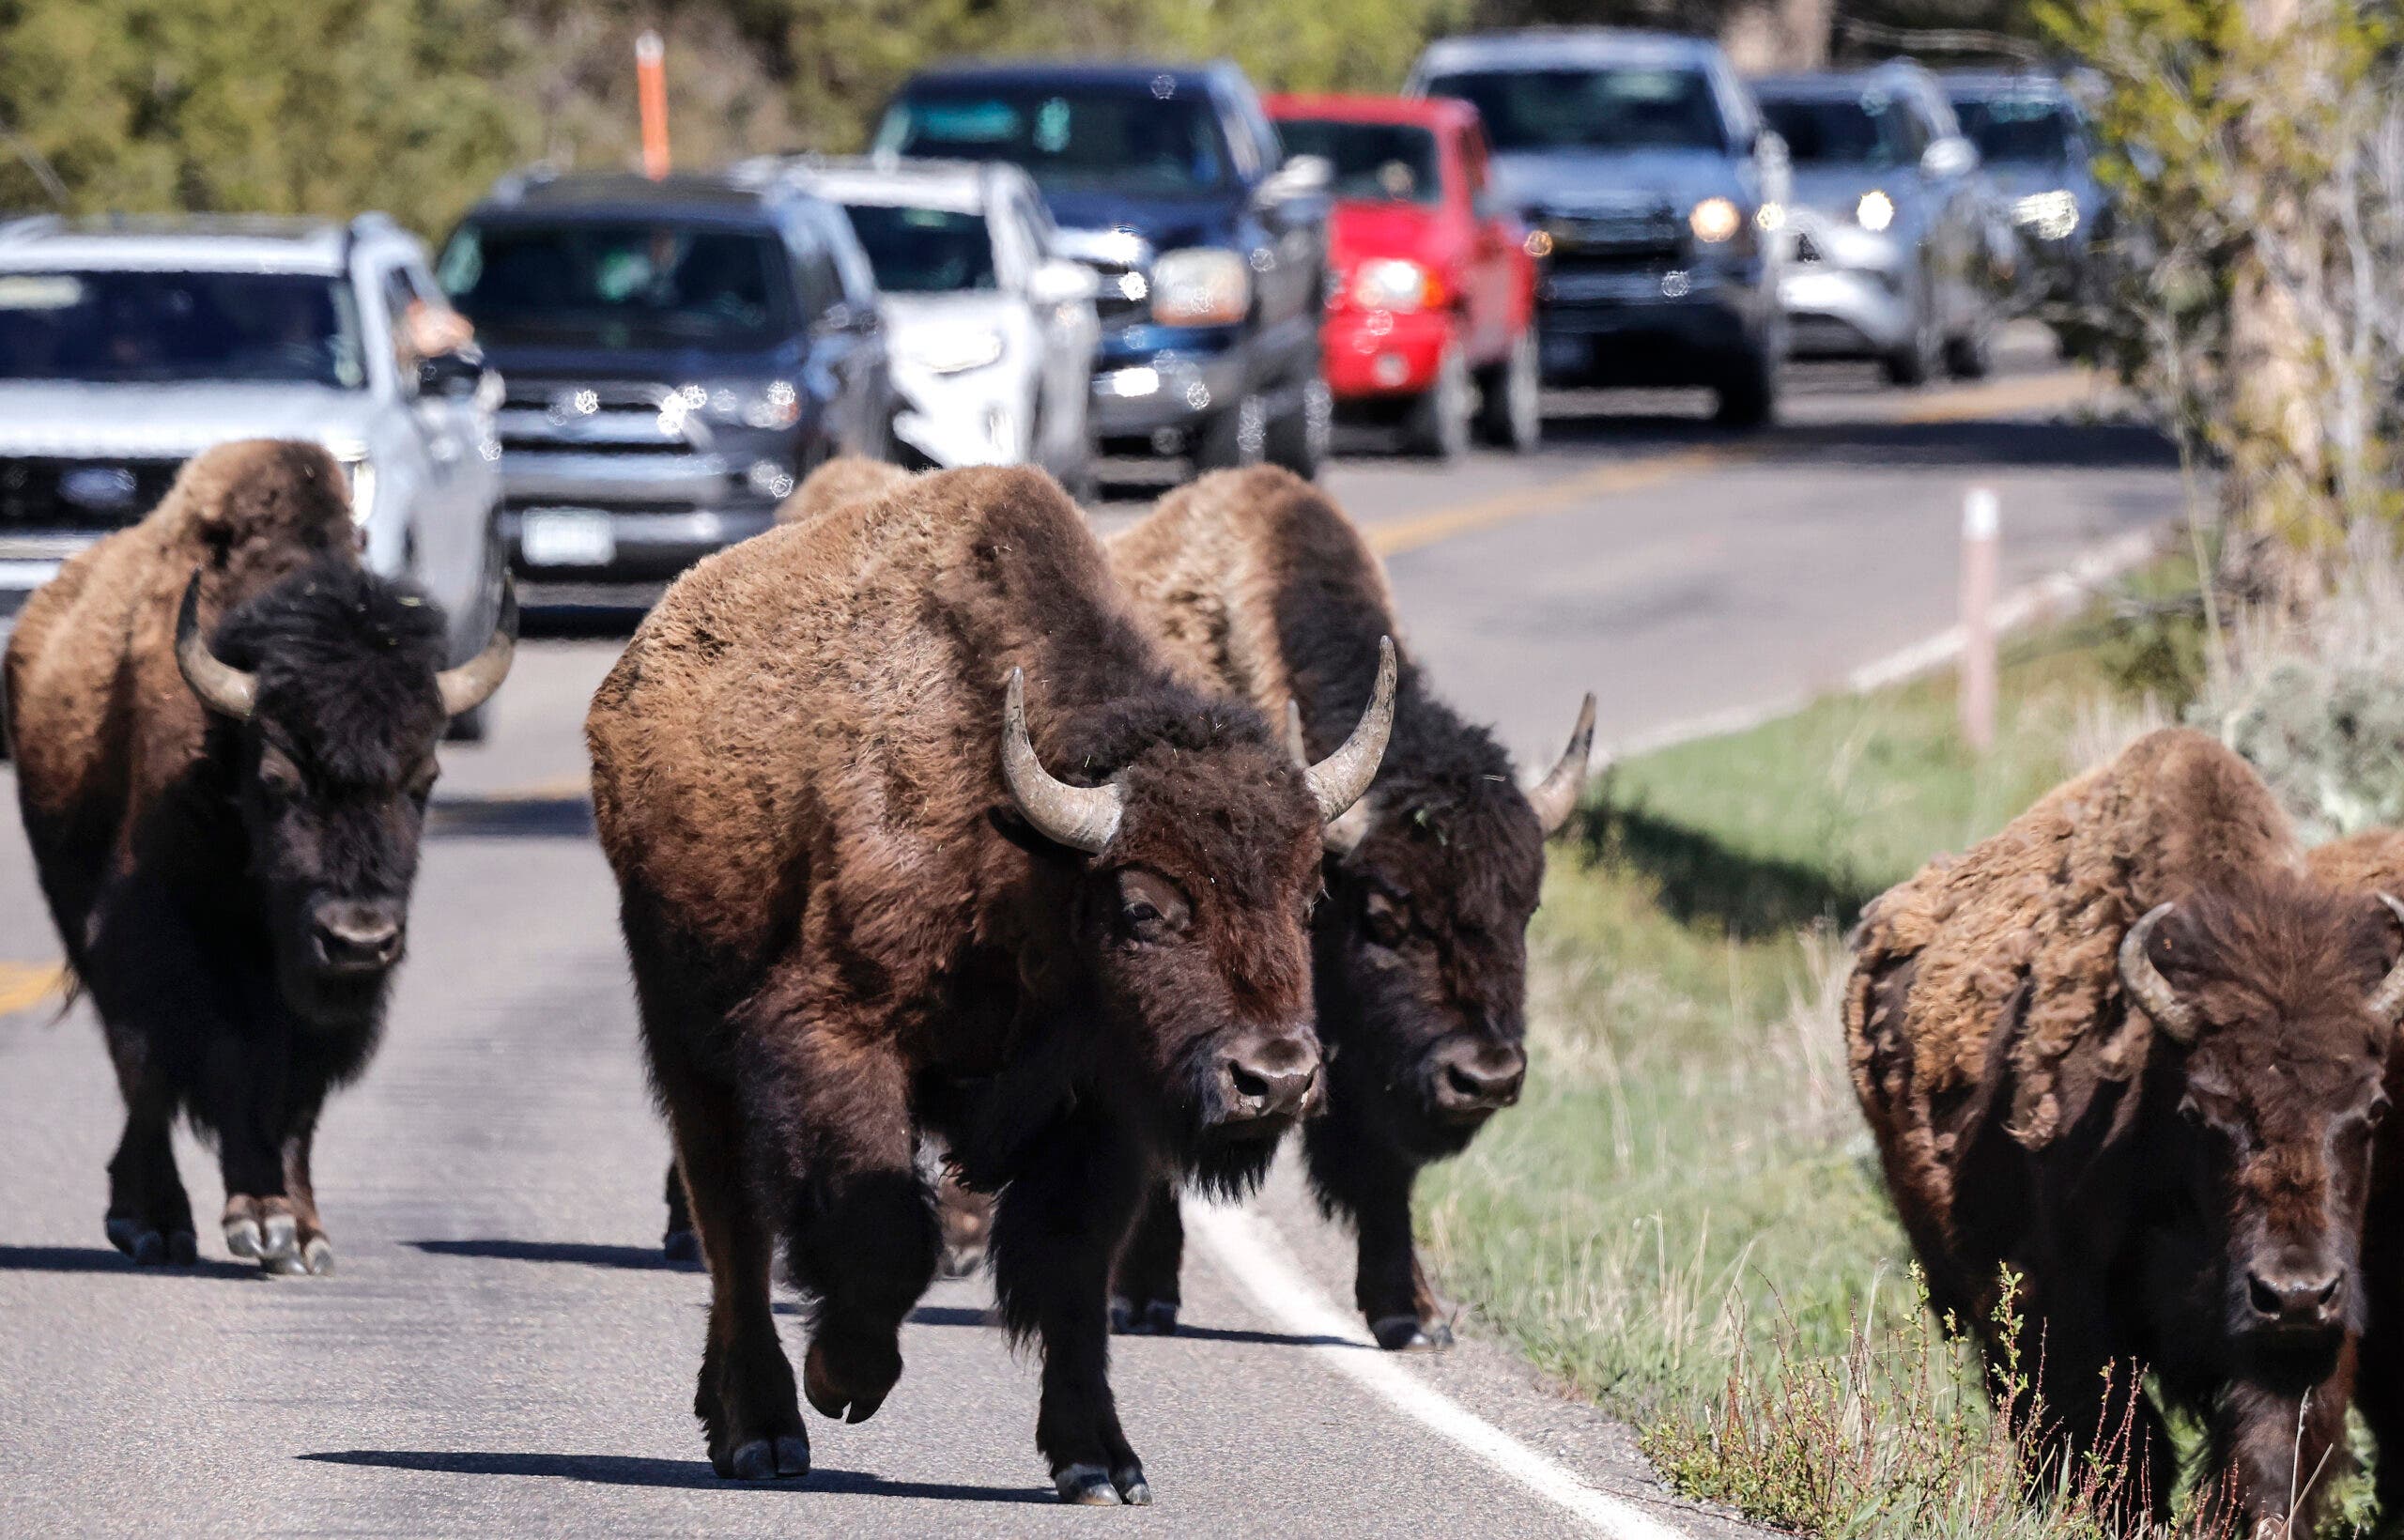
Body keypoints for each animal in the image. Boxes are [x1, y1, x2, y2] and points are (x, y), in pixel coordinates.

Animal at [4, 440, 513, 1274]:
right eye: (277, 778)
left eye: (423, 778)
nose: (358, 938)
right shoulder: (173, 944)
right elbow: (221, 1060)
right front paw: (259, 1221)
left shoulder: (317, 1002)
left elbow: (295, 1093)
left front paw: (302, 1234)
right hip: (84, 920)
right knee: (140, 1074)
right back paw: (151, 1224)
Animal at [585, 464, 1392, 1501]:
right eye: (1140, 906)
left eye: (1309, 893)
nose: (1276, 1078)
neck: (1025, 855)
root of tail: (634, 671)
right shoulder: (834, 1035)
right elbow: (887, 1232)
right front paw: (845, 1378)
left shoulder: (1098, 1109)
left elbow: (1072, 1273)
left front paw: (1100, 1462)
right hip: (687, 1039)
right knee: (731, 1227)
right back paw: (762, 1432)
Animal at [1847, 729, 2404, 1533]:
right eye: (2202, 1110)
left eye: (2373, 1109)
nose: (2295, 1292)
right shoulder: (2068, 1302)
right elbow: (2114, 1430)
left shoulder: (2300, 1344)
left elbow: (2273, 1451)